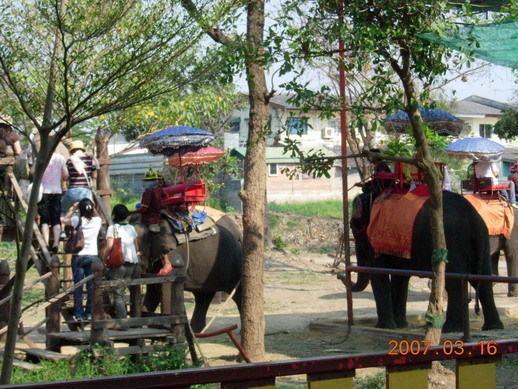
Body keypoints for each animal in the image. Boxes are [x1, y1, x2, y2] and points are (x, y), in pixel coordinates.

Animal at [352, 186, 506, 332]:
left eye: (353, 226)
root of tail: (473, 218)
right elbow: (400, 277)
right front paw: (400, 325)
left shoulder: (375, 239)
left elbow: (379, 274)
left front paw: (384, 327)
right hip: (483, 240)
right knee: (483, 279)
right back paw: (493, 327)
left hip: (452, 241)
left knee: (454, 282)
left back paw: (450, 329)